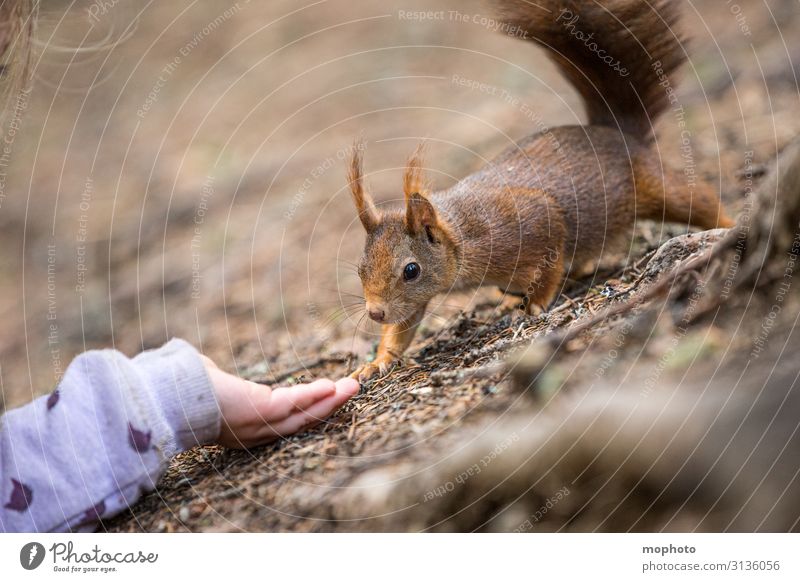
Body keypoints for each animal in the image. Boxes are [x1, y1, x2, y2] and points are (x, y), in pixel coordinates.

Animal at [344, 0, 732, 386]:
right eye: (360, 269)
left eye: (411, 270)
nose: (375, 312)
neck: (461, 237)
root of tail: (615, 132)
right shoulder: (416, 298)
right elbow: (403, 326)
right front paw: (376, 362)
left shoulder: (530, 223)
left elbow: (548, 262)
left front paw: (534, 305)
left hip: (651, 185)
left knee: (696, 198)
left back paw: (728, 226)